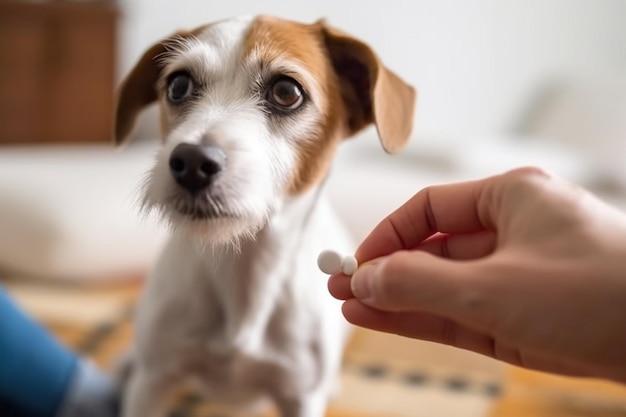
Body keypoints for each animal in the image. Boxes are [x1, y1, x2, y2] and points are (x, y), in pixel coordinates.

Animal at [113, 13, 414, 416]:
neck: (244, 265)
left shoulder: (301, 395)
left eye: (286, 91)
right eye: (177, 85)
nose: (191, 162)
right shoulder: (153, 382)